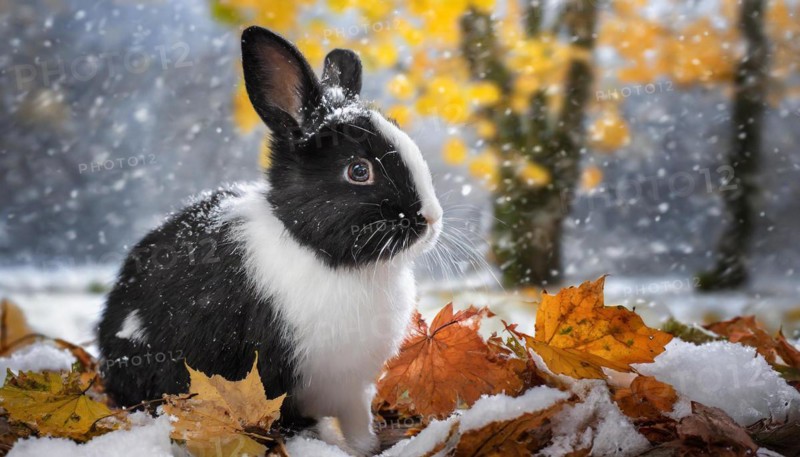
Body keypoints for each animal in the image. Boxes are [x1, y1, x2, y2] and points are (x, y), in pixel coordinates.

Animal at [97, 26, 443, 456]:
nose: (430, 219)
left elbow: (357, 422)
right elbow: (286, 418)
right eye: (359, 171)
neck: (322, 255)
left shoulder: (353, 390)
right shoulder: (278, 375)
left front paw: (364, 447)